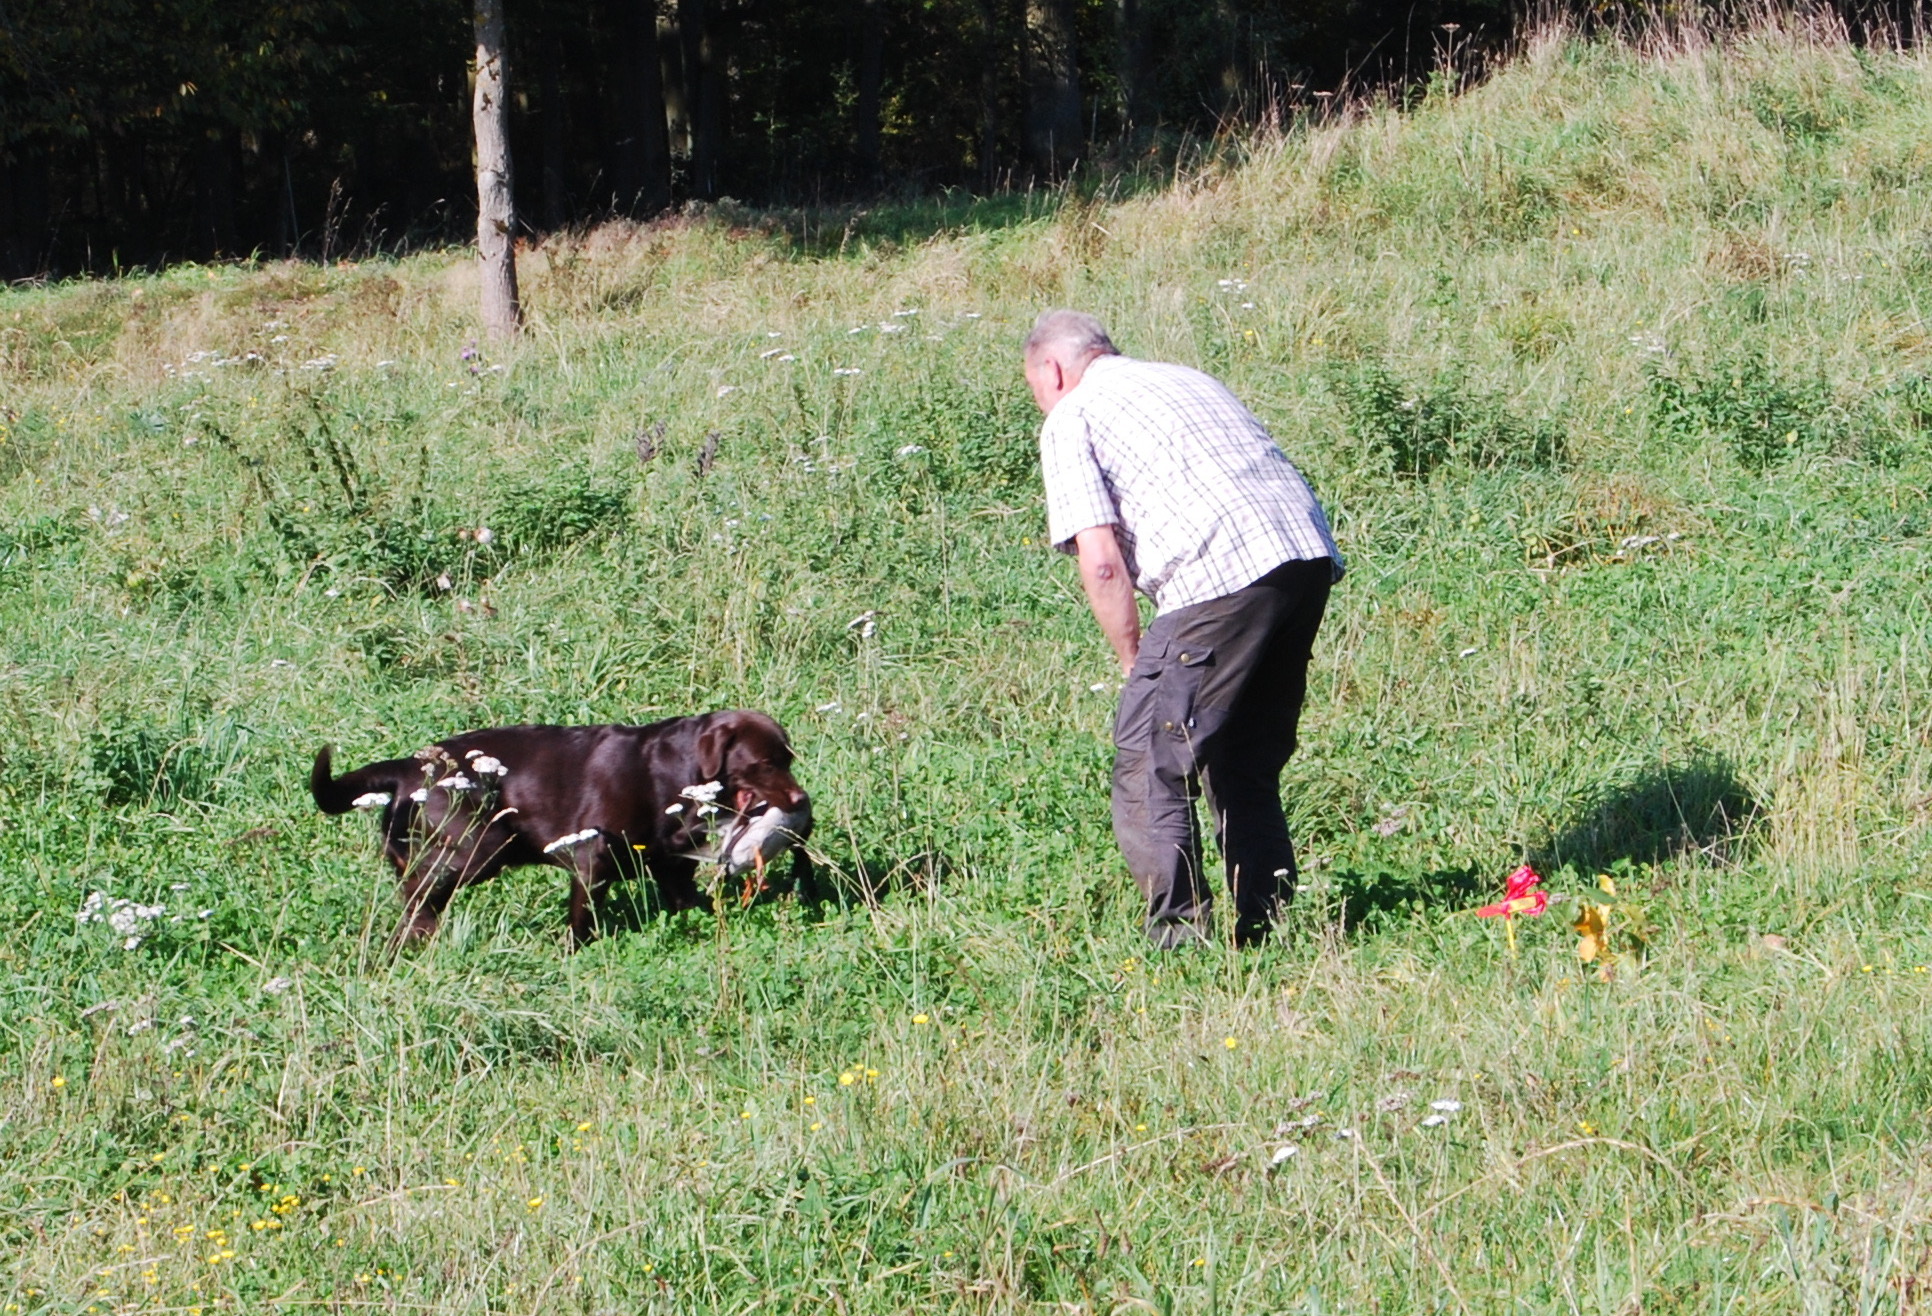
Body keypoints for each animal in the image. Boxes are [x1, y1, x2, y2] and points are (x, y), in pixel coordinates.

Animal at [307, 707, 815, 943]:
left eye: (789, 759)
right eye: (764, 763)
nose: (801, 801)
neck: (677, 774)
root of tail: (408, 767)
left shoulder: (671, 867)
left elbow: (689, 901)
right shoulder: (591, 860)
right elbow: (582, 920)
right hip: (477, 847)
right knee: (419, 891)